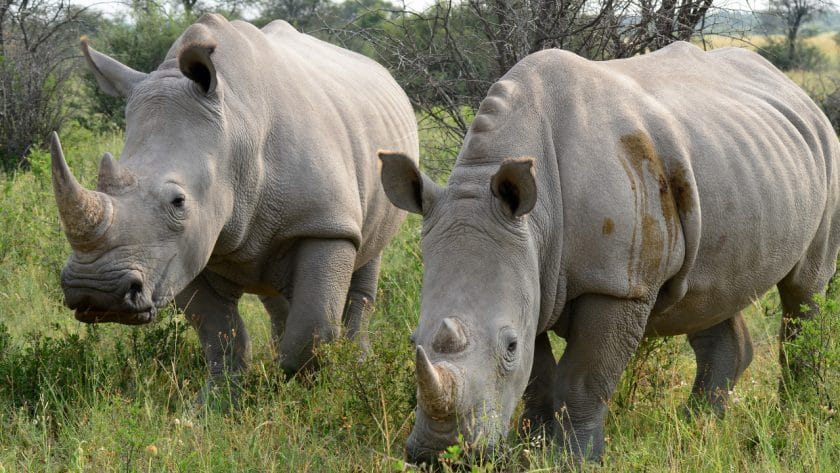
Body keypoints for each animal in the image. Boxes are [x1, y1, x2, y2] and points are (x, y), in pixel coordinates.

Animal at [50, 12, 418, 394]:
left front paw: (301, 391)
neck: (235, 135)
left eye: (178, 201)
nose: (95, 293)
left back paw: (357, 363)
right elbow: (218, 331)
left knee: (367, 261)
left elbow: (313, 327)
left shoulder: (325, 224)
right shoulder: (182, 251)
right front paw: (218, 398)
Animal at [380, 40, 840, 460]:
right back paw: (698, 426)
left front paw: (572, 459)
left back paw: (794, 413)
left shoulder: (618, 284)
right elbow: (538, 375)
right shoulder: (532, 269)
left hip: (824, 151)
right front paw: (532, 450)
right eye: (413, 339)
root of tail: (796, 92)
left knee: (804, 291)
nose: (438, 455)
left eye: (508, 345)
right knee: (708, 293)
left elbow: (583, 378)